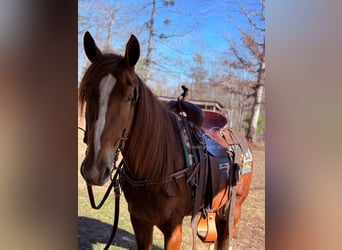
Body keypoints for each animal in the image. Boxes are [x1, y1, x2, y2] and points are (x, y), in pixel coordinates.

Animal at [79, 31, 252, 250]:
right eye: (86, 92)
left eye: (130, 97)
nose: (94, 171)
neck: (152, 169)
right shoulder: (140, 221)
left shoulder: (173, 230)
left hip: (233, 211)